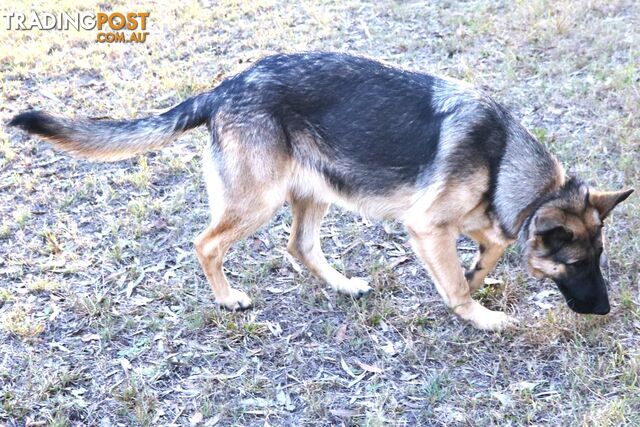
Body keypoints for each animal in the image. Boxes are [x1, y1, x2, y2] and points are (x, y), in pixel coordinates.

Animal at [11, 52, 636, 332]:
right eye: (576, 264)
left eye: (598, 259)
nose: (606, 310)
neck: (502, 158)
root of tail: (224, 88)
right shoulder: (427, 225)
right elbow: (459, 283)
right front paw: (479, 313)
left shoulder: (473, 221)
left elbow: (491, 247)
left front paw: (480, 273)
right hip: (258, 202)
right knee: (206, 244)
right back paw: (228, 298)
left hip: (315, 191)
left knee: (300, 247)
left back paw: (342, 285)